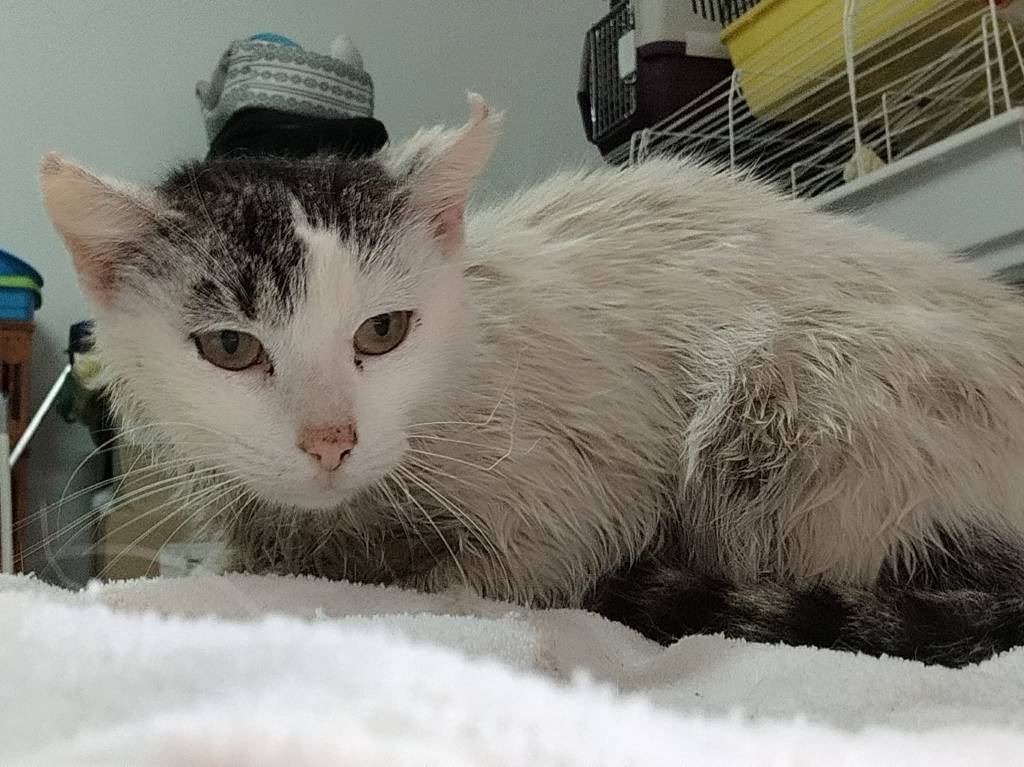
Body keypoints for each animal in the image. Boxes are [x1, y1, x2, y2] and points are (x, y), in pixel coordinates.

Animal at [42, 94, 1024, 666]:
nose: (331, 440)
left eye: (384, 331)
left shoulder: (578, 487)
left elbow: (480, 582)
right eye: (230, 349)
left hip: (777, 401)